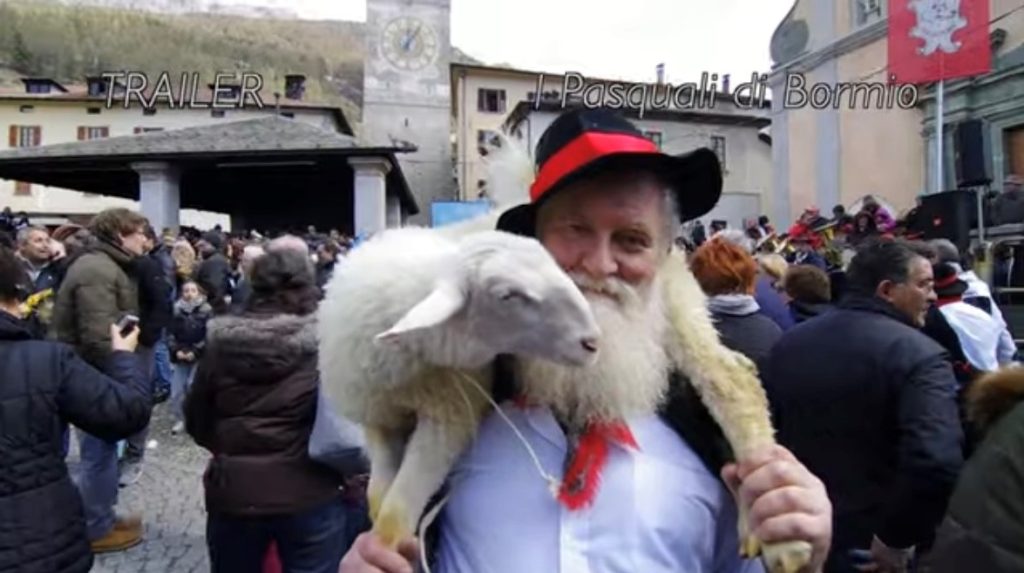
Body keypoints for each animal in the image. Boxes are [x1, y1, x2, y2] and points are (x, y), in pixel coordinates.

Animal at [317, 226, 598, 548]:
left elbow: (394, 517)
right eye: (507, 295)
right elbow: (378, 496)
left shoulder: (447, 423)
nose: (591, 342)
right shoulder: (377, 417)